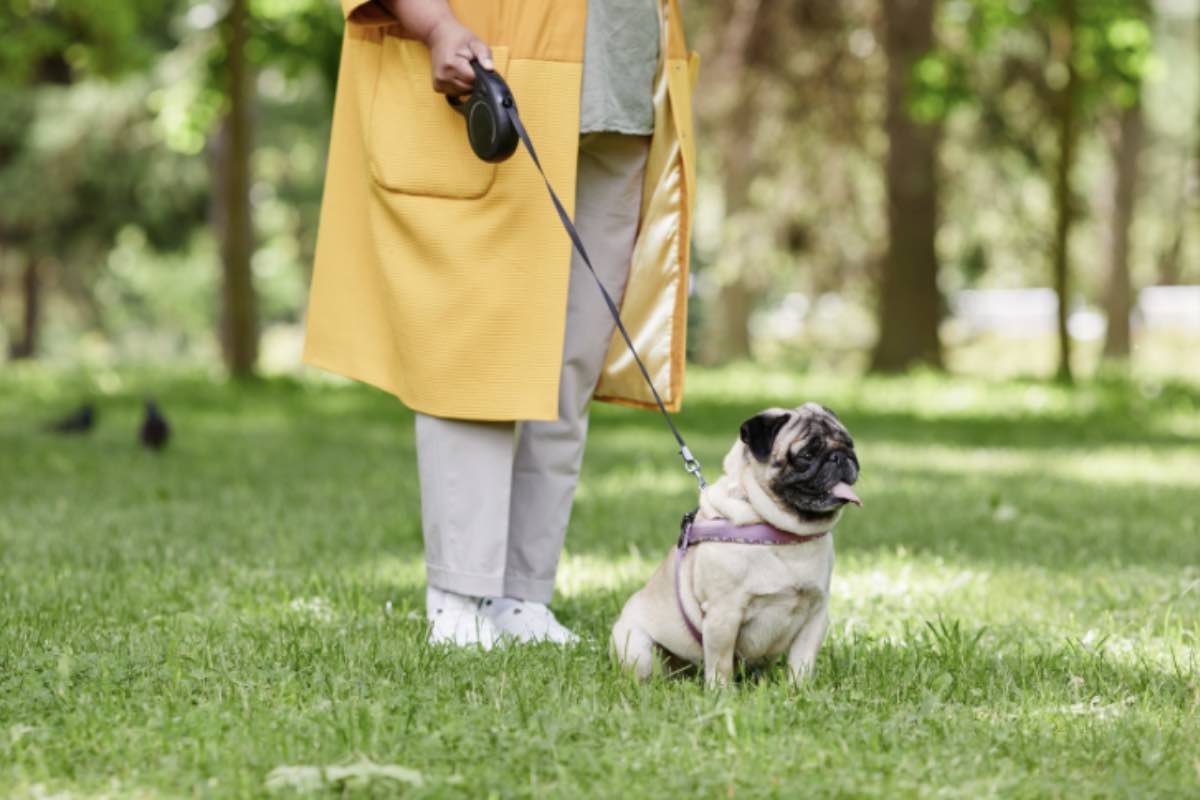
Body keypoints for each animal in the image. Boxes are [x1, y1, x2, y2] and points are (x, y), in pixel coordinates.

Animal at [609, 402, 864, 686]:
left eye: (849, 444)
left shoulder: (816, 614)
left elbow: (802, 662)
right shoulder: (724, 614)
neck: (784, 534)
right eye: (807, 454)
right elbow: (720, 664)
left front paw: (799, 689)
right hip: (637, 647)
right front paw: (721, 693)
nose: (840, 456)